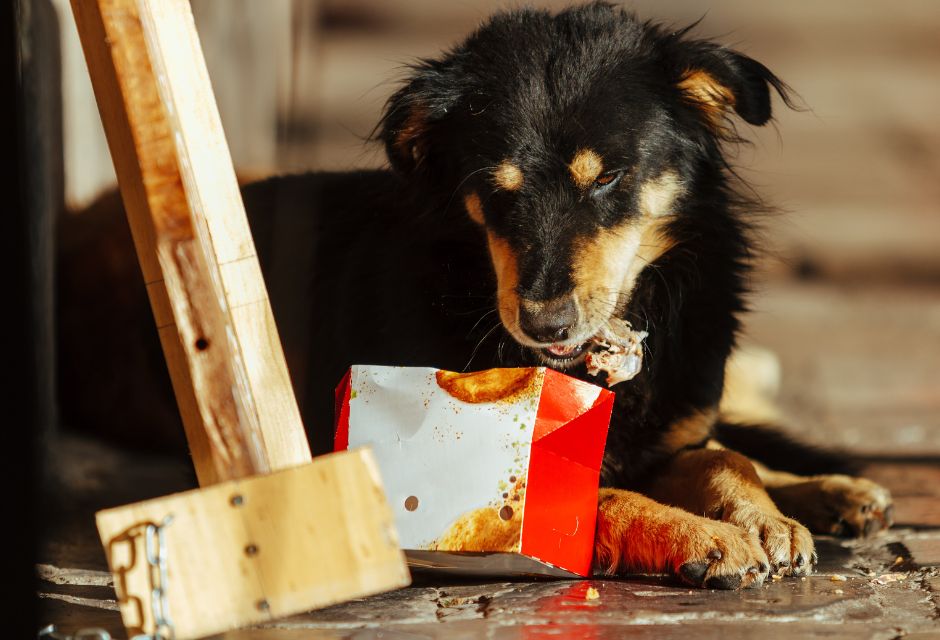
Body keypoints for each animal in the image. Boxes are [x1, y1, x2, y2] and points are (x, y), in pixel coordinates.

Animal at [58, 1, 896, 592]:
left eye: (608, 176)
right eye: (497, 191)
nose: (543, 323)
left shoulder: (669, 432)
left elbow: (724, 454)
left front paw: (763, 513)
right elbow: (601, 496)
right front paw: (706, 536)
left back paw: (834, 491)